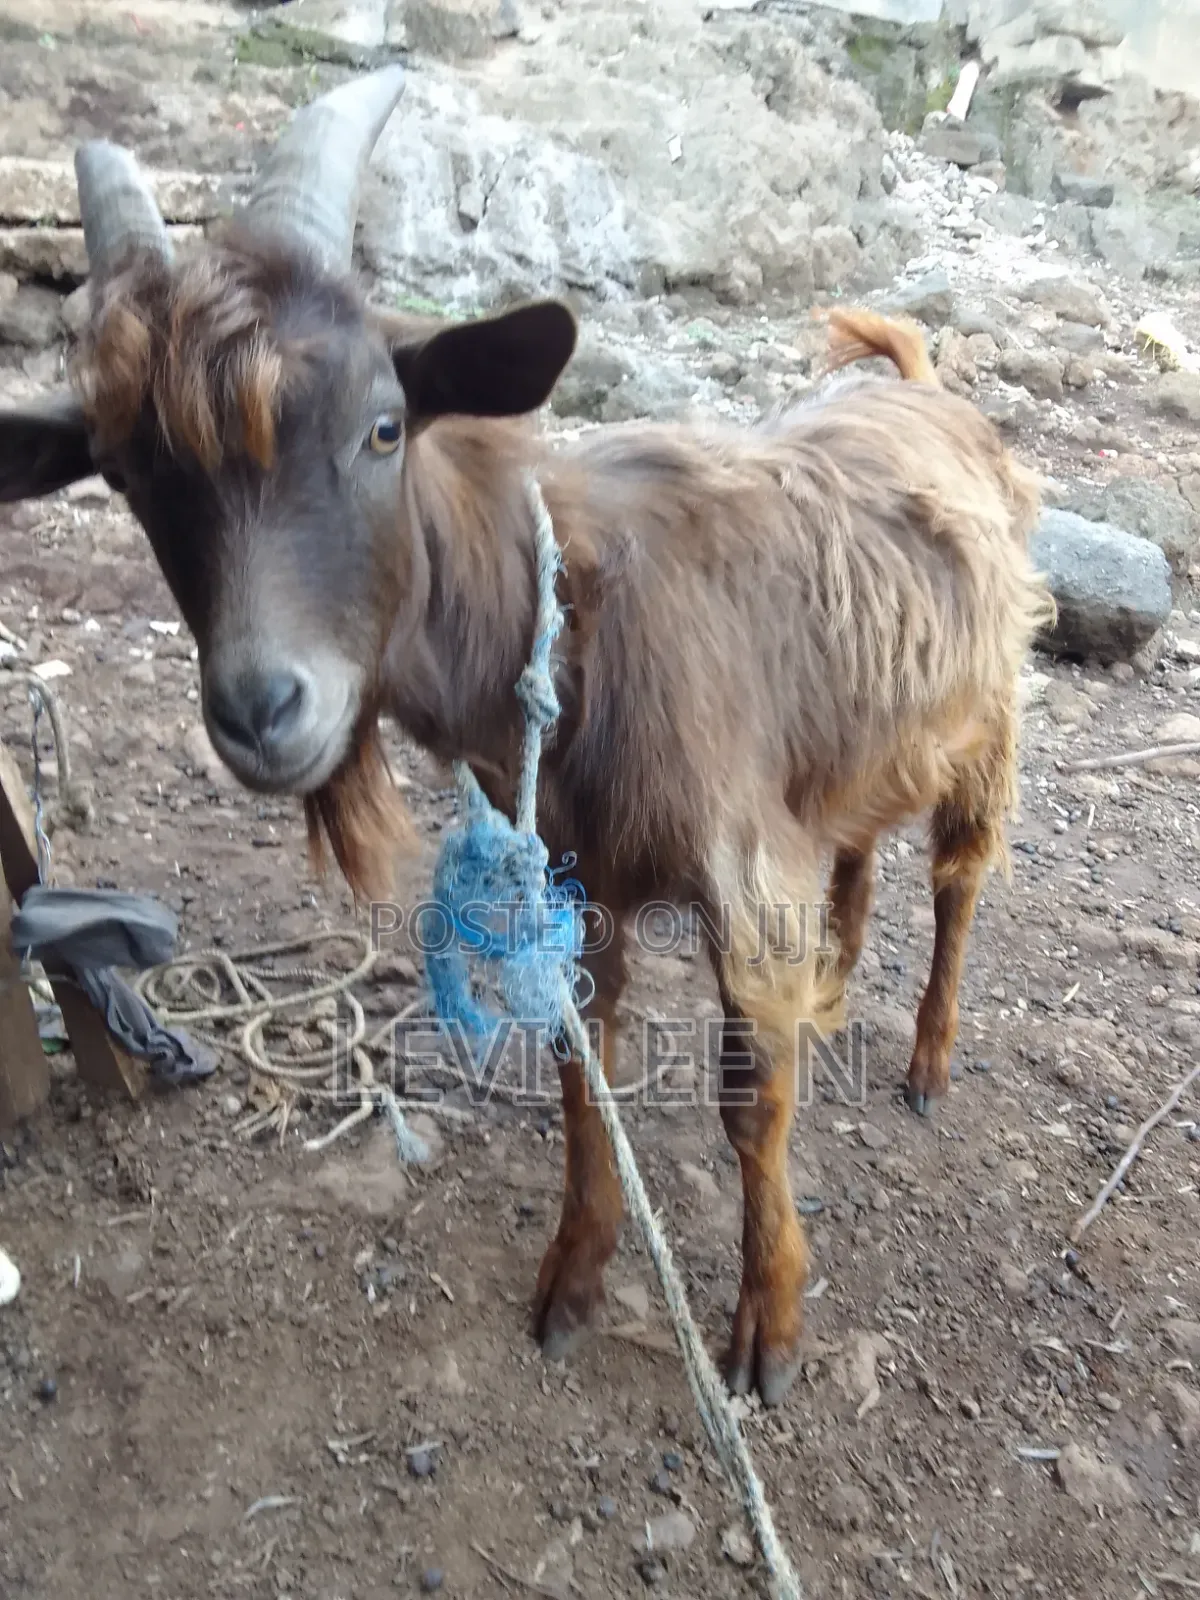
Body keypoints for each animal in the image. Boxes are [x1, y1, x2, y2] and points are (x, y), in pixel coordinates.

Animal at [0, 65, 1054, 1406]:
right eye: (126, 476)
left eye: (384, 426)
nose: (261, 708)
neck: (573, 623)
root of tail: (920, 380)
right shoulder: (578, 875)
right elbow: (577, 1076)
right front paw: (572, 1281)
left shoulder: (741, 869)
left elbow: (748, 1103)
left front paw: (767, 1330)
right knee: (859, 840)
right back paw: (840, 981)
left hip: (991, 714)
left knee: (961, 875)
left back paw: (924, 1062)